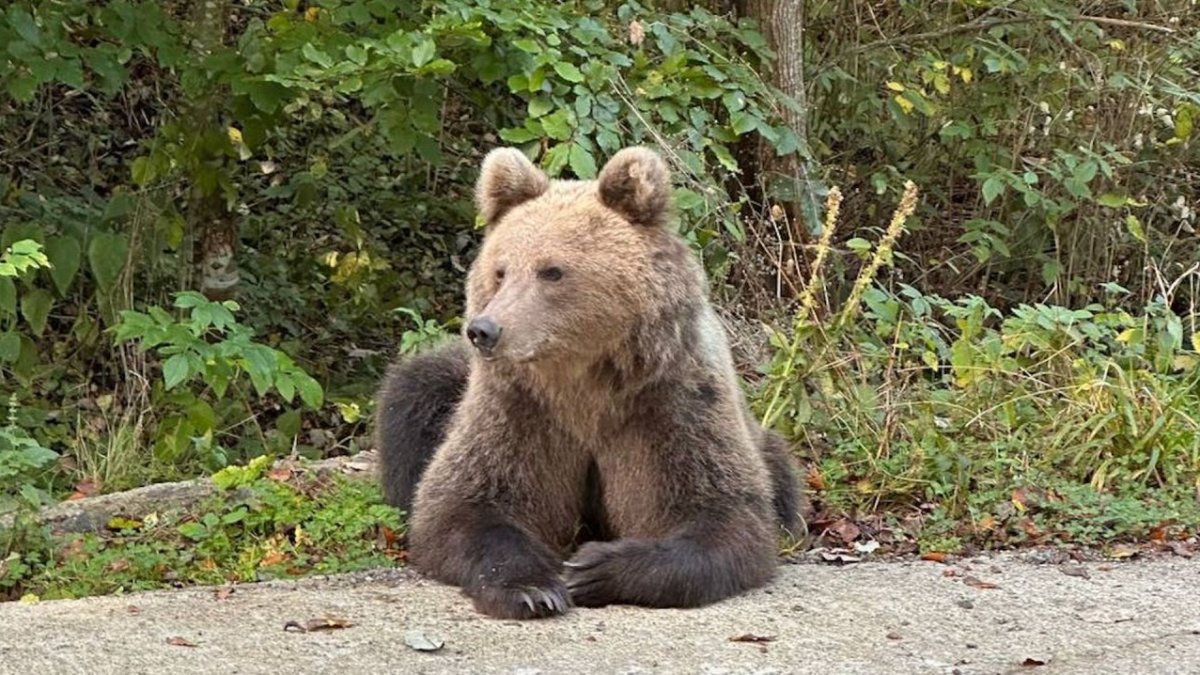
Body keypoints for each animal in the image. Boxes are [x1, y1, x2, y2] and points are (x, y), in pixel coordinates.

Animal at [374, 146, 807, 620]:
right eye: (501, 271)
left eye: (552, 271)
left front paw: (594, 568)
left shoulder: (671, 401)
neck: (582, 379)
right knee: (414, 394)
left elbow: (722, 515)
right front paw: (533, 587)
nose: (484, 330)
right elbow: (463, 504)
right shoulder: (518, 407)